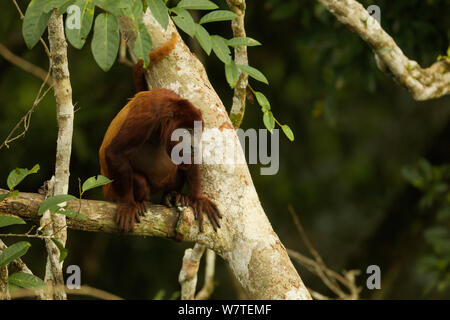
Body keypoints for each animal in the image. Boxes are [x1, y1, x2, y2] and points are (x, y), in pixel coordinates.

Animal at [100, 33, 223, 232]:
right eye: (186, 132)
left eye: (196, 133)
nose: (191, 143)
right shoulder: (145, 118)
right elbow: (115, 152)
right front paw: (127, 204)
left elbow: (191, 158)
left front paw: (198, 198)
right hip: (111, 191)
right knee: (140, 181)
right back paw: (140, 202)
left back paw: (173, 196)